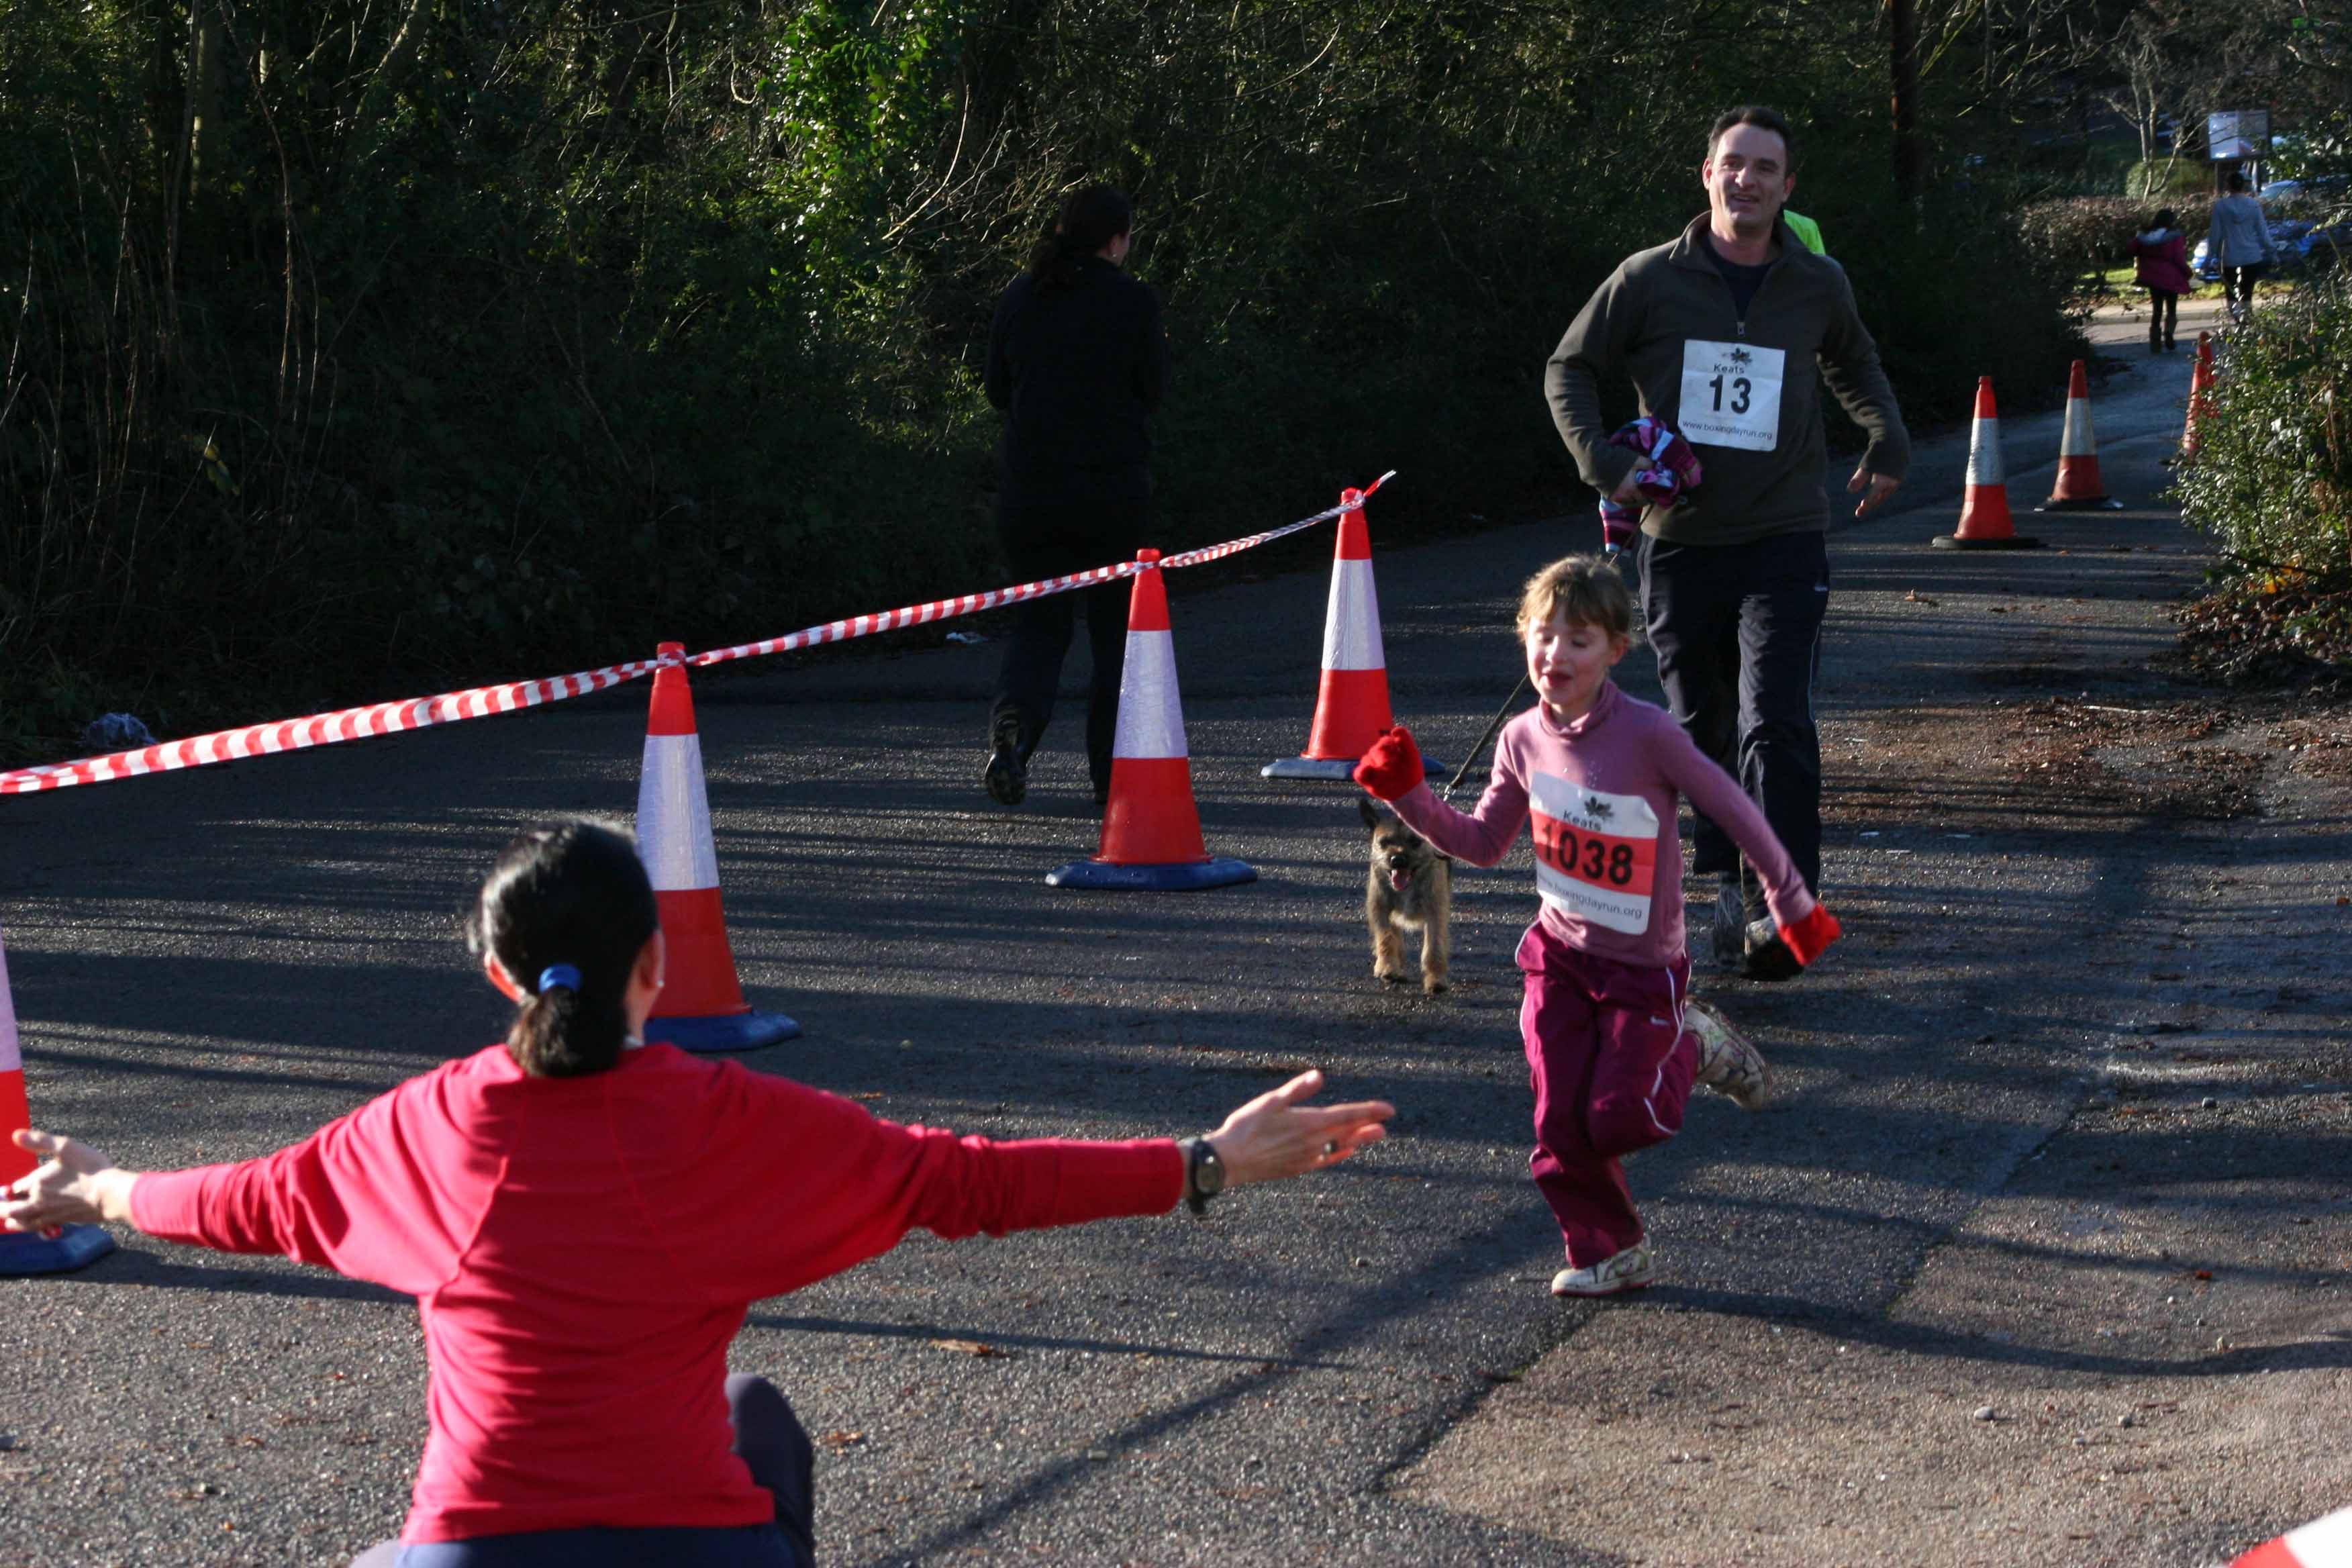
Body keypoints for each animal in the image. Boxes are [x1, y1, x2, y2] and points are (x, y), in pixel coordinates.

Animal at [1364, 803, 1449, 1001]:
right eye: (1384, 843)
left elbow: (1434, 948)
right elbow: (1386, 938)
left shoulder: (1435, 913)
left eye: (1415, 842)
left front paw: (1435, 980)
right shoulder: (1380, 909)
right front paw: (1388, 967)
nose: (1397, 860)